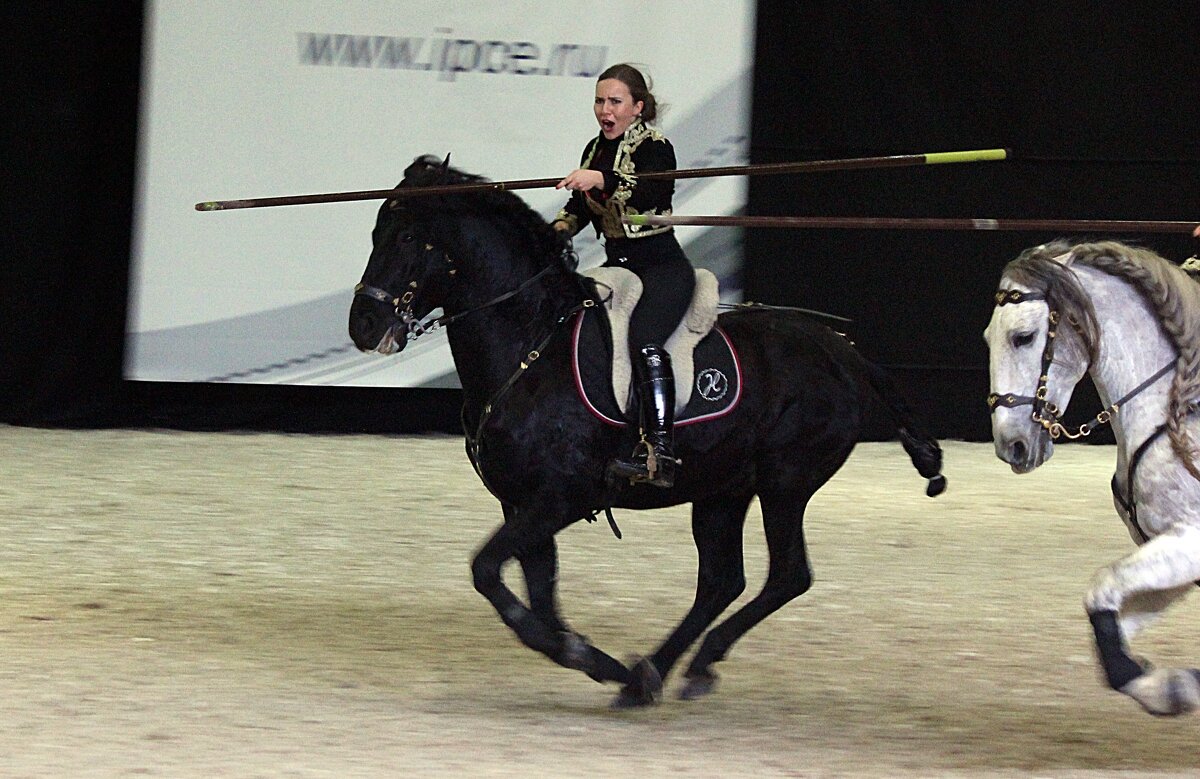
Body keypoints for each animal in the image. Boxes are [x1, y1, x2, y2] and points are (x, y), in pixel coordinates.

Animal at [348, 154, 945, 705]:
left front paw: (590, 657)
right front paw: (589, 657)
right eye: (376, 231)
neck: (530, 343)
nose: (364, 325)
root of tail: (839, 350)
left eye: (406, 235)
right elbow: (537, 595)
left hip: (785, 484)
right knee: (722, 581)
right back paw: (655, 673)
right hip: (723, 490)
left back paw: (684, 665)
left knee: (787, 575)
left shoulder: (558, 498)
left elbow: (488, 573)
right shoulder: (522, 502)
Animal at [984, 240, 1200, 715]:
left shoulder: (1189, 543)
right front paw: (1171, 687)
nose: (1011, 445)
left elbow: (1103, 588)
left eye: (1022, 337)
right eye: (989, 337)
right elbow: (1112, 617)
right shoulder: (1170, 553)